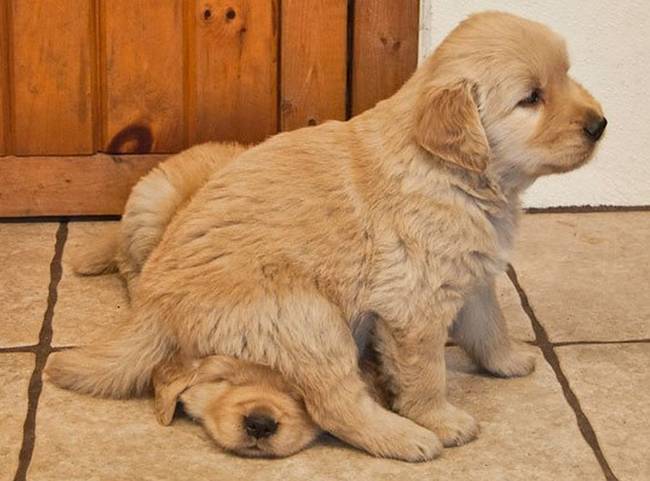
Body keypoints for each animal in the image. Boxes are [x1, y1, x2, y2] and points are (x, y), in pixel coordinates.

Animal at [48, 12, 604, 462]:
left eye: (566, 75)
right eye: (531, 98)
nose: (600, 124)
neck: (449, 173)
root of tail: (153, 305)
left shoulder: (470, 274)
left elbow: (490, 323)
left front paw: (509, 362)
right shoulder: (414, 304)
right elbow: (425, 373)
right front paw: (441, 420)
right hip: (307, 316)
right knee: (336, 403)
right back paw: (408, 439)